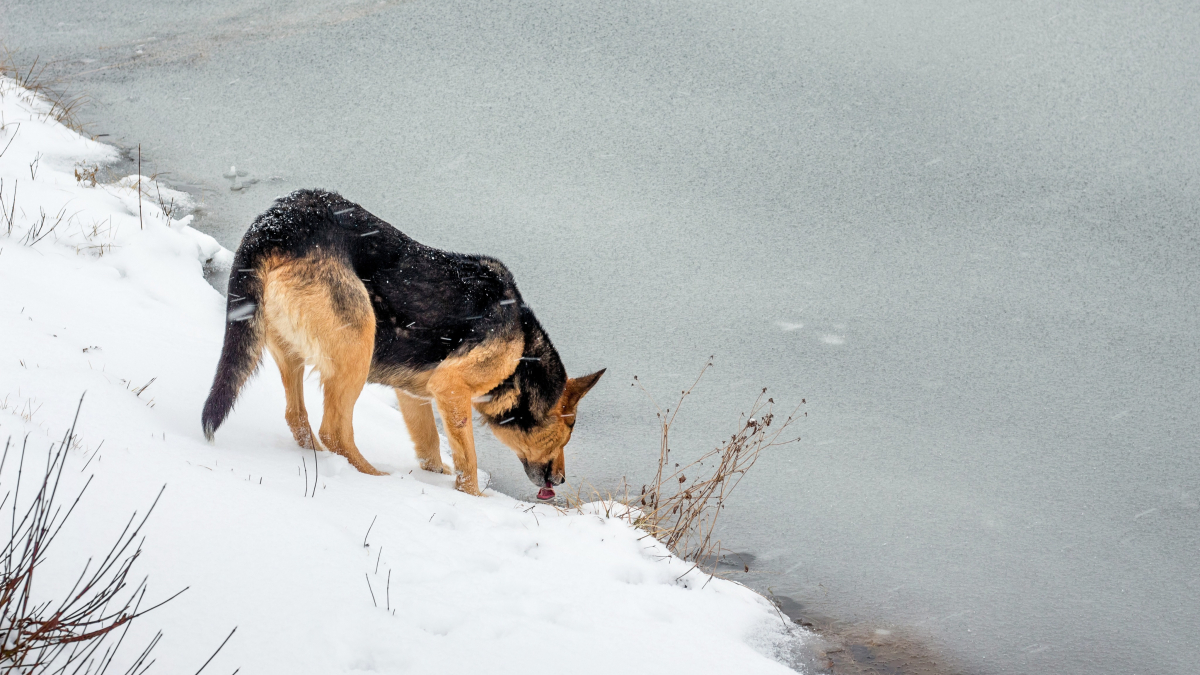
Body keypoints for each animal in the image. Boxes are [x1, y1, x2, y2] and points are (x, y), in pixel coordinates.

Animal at [202, 186, 609, 492]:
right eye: (564, 437)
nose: (561, 481)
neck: (523, 352)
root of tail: (277, 225)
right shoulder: (450, 387)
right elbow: (468, 464)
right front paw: (473, 498)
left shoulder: (417, 396)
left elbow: (430, 449)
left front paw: (436, 481)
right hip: (358, 345)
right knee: (334, 431)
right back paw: (375, 479)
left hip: (292, 353)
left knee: (298, 418)